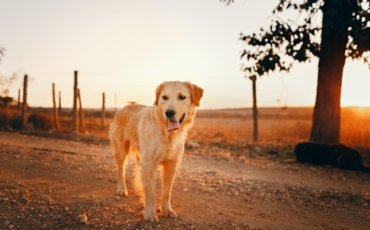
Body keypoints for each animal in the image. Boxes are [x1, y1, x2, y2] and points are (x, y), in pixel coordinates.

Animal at [108, 81, 204, 223]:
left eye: (182, 97)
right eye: (164, 97)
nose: (169, 113)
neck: (167, 134)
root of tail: (126, 106)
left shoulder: (171, 165)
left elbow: (166, 192)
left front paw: (167, 210)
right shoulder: (149, 164)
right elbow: (151, 193)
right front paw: (150, 213)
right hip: (121, 150)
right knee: (121, 171)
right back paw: (122, 189)